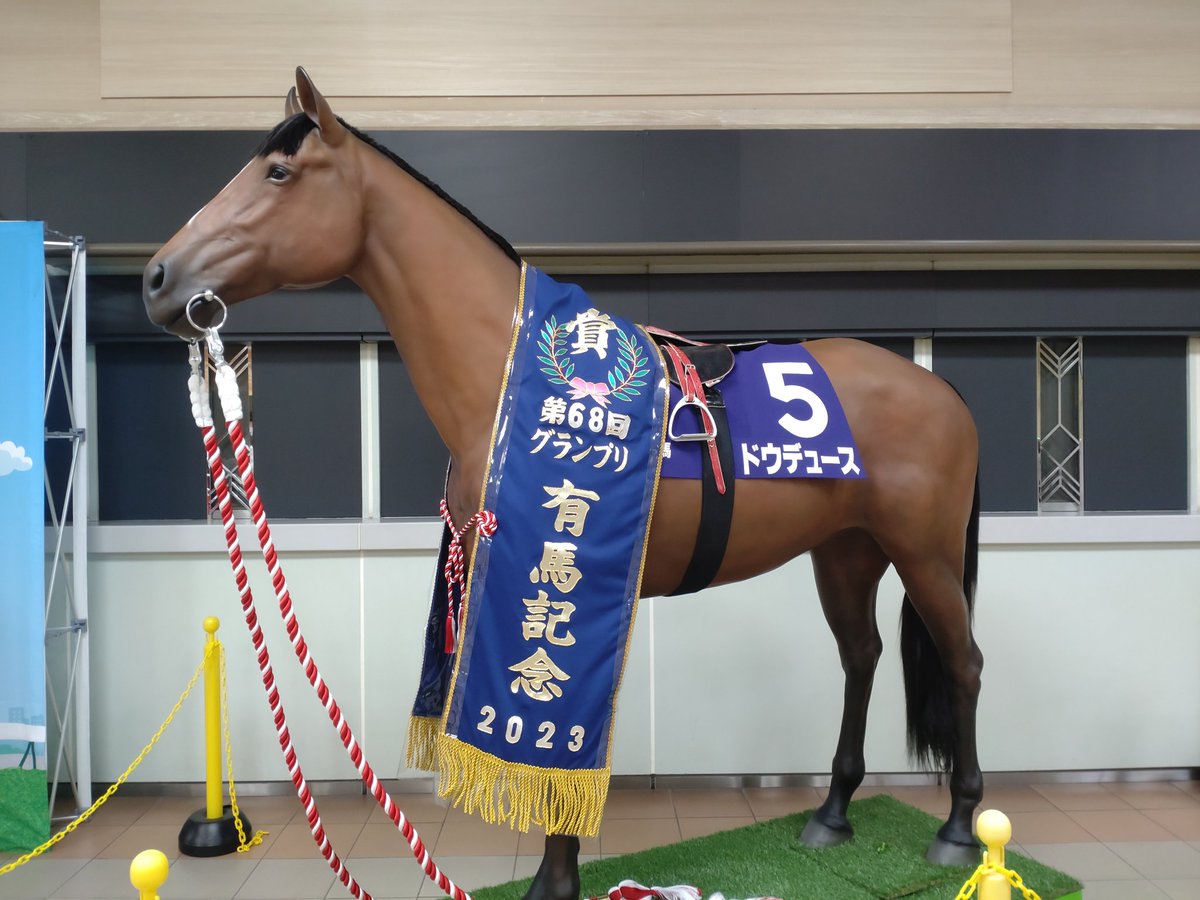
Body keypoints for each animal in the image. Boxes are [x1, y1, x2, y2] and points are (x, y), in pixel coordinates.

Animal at [143, 68, 984, 900]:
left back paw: (958, 829)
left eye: (278, 174)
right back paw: (832, 814)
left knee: (962, 662)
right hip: (846, 551)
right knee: (862, 658)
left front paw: (554, 880)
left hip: (924, 555)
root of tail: (940, 391)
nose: (158, 277)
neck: (504, 376)